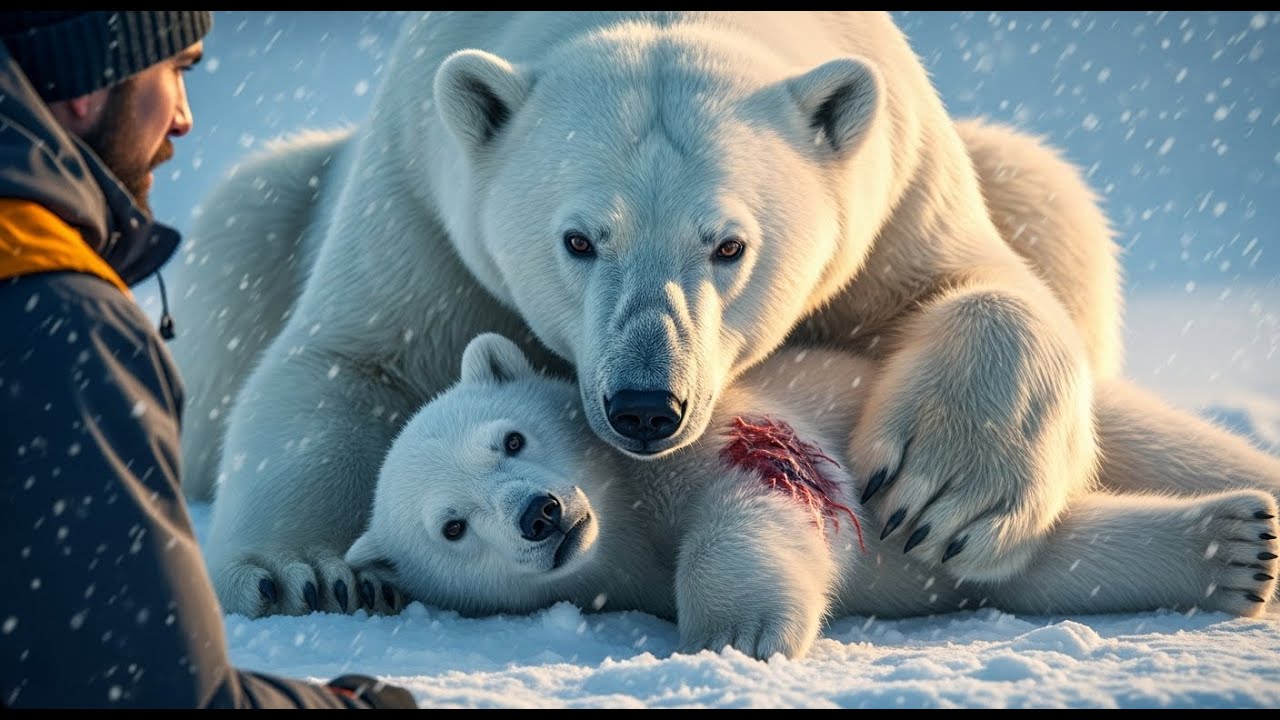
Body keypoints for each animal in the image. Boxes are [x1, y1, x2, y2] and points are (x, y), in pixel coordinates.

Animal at [175, 11, 1136, 618]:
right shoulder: (420, 188)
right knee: (238, 235)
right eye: (578, 239)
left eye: (729, 245)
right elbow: (348, 358)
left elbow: (973, 284)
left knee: (1048, 191)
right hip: (276, 203)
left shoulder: (896, 179)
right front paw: (303, 573)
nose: (645, 405)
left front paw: (943, 502)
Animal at [345, 333, 1280, 661]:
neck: (624, 515)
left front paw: (738, 634)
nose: (540, 515)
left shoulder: (712, 432)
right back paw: (1236, 547)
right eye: (453, 527)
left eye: (509, 438)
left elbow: (765, 491)